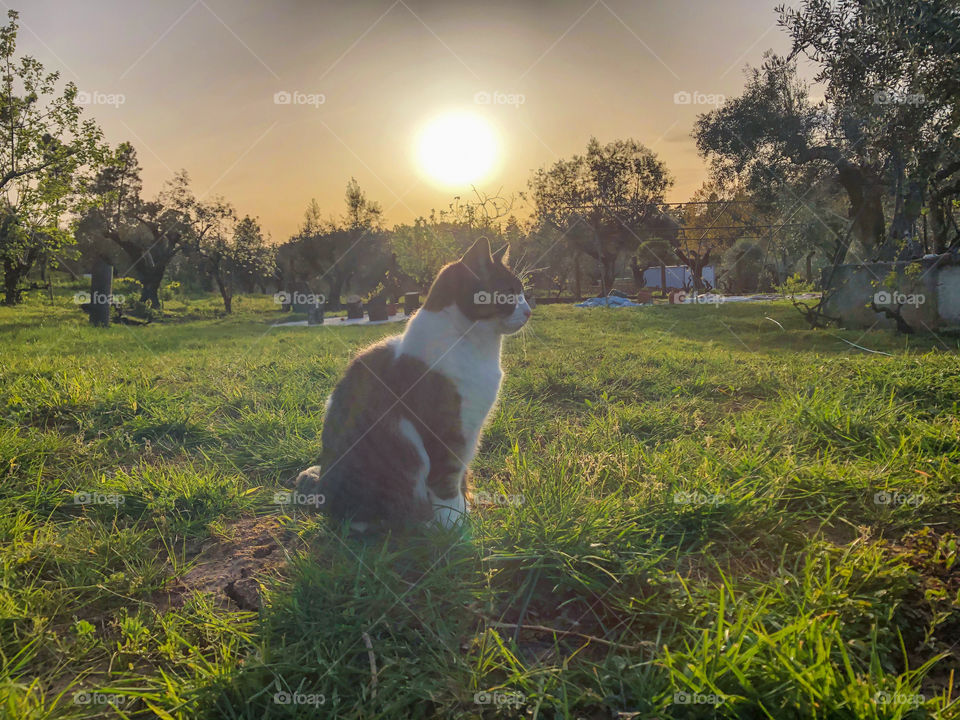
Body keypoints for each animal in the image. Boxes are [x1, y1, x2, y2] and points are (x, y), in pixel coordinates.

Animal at [294, 236, 532, 528]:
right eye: (509, 293)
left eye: (523, 292)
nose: (529, 311)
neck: (476, 346)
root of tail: (323, 494)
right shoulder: (448, 434)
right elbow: (447, 483)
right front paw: (456, 526)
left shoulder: (471, 431)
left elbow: (463, 475)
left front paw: (466, 508)